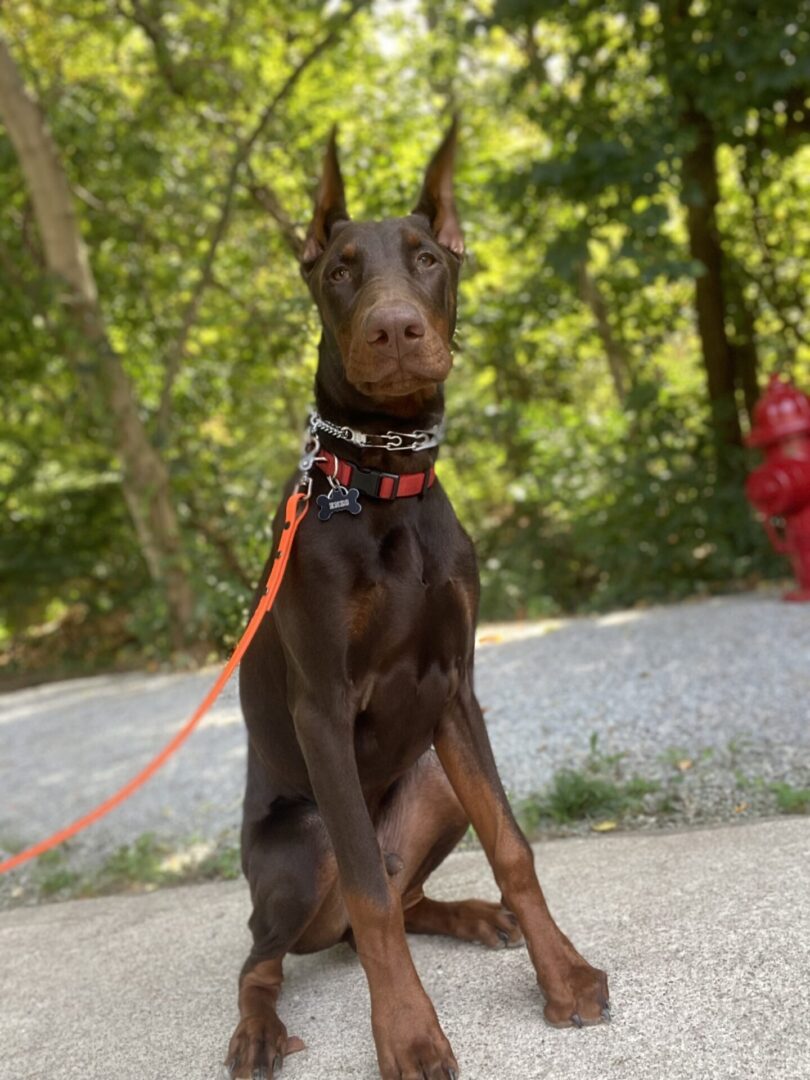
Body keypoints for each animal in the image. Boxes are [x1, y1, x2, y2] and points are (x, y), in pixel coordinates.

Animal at [225, 120, 613, 1080]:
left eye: (428, 258)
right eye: (339, 270)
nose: (395, 329)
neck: (382, 482)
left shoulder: (455, 686)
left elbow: (513, 844)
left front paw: (563, 976)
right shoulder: (322, 707)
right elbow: (368, 895)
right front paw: (407, 1034)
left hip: (431, 781)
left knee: (400, 899)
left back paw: (473, 917)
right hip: (299, 850)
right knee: (275, 950)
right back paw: (256, 1031)